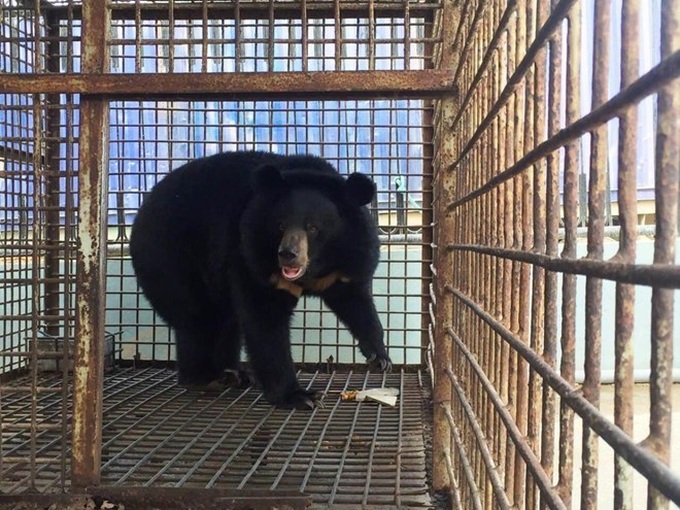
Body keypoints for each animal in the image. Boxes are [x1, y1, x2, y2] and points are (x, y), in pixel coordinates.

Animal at [129, 150, 391, 409]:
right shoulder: (251, 254)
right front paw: (299, 396)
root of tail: (143, 208)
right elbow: (265, 321)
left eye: (313, 228)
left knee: (226, 320)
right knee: (196, 317)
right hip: (172, 257)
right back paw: (204, 377)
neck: (315, 266)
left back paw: (233, 373)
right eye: (280, 225)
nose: (287, 254)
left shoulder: (348, 260)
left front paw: (379, 357)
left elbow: (356, 302)